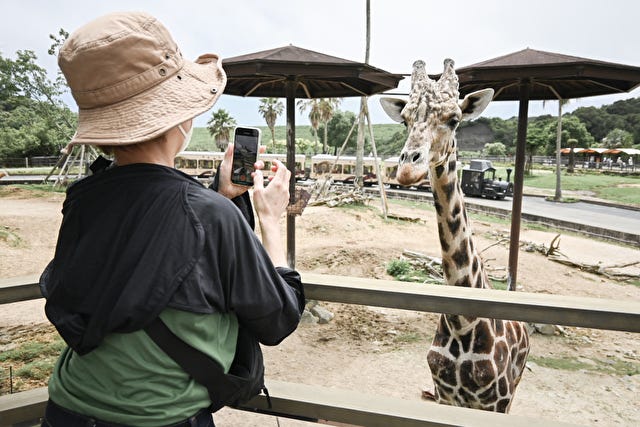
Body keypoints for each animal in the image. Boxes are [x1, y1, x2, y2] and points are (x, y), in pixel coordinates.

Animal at [380, 58, 528, 412]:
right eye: (405, 120)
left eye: (454, 119)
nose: (407, 169)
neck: (464, 323)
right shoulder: (445, 395)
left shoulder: (496, 401)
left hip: (514, 390)